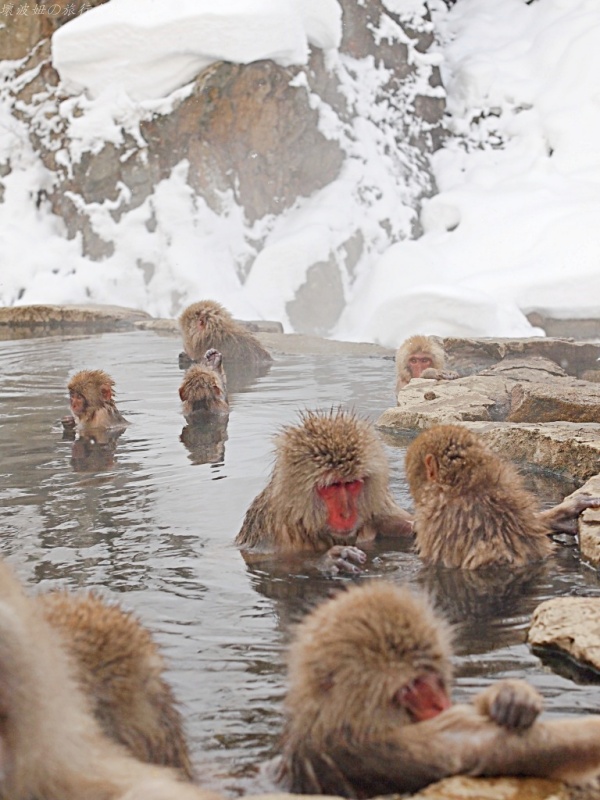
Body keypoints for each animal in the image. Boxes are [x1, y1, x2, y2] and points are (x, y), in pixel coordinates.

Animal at [235, 408, 413, 575]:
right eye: (332, 486)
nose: (346, 514)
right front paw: (326, 560)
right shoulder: (276, 532)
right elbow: (262, 561)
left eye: (351, 483)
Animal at [275, 580, 600, 798]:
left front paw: (512, 698)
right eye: (410, 687)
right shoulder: (378, 748)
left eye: (430, 674)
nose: (439, 703)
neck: (339, 720)